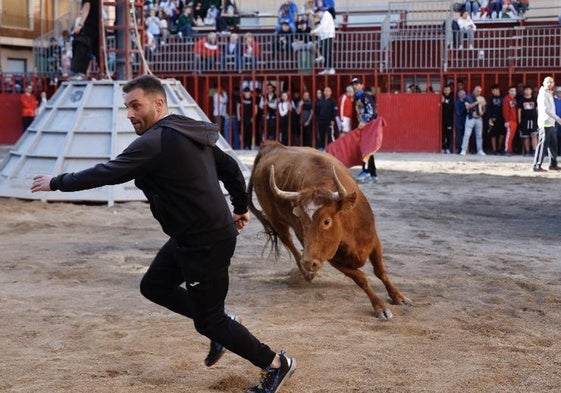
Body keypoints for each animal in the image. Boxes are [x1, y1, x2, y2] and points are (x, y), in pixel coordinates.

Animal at [247, 141, 410, 318]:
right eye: (302, 220)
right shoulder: (332, 258)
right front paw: (380, 307)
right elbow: (361, 279)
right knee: (287, 240)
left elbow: (380, 271)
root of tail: (270, 146)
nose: (308, 263)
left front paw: (398, 297)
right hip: (277, 220)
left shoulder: (374, 242)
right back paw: (306, 273)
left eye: (326, 221)